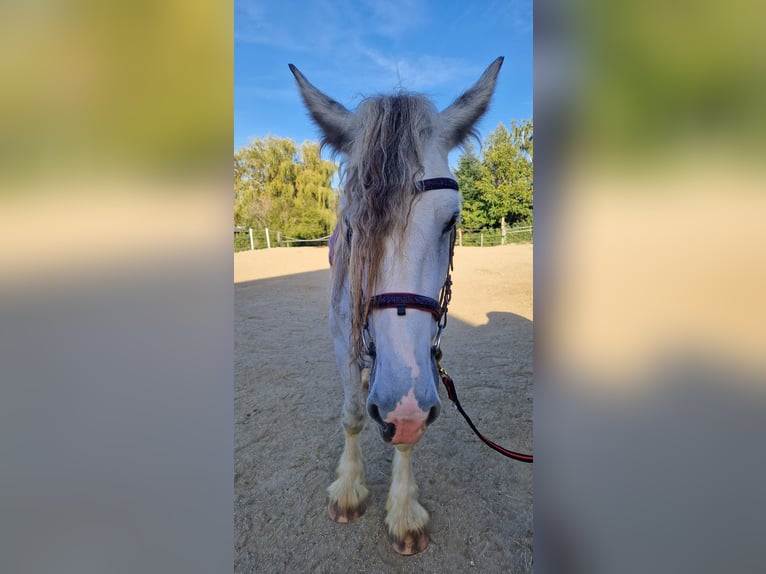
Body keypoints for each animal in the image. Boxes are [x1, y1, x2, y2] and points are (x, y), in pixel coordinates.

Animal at [288, 57, 504, 552]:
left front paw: (403, 513)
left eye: (451, 220)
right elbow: (352, 413)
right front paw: (349, 490)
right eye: (352, 223)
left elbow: (406, 436)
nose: (402, 410)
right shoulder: (343, 340)